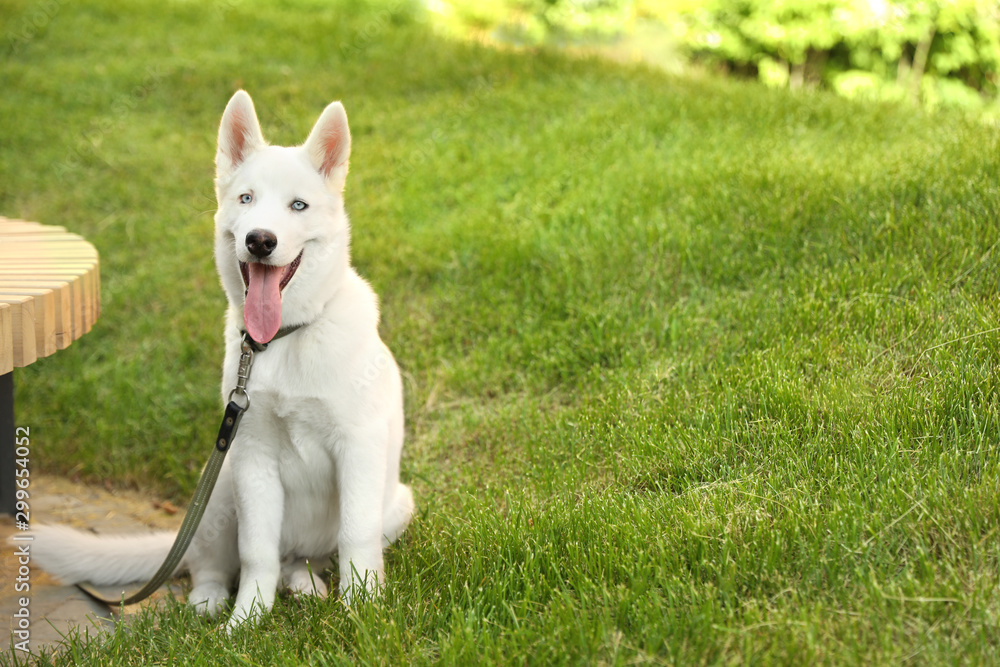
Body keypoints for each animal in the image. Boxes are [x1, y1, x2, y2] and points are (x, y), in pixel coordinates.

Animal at [30, 90, 414, 632]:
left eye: (298, 205)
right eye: (246, 199)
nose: (260, 240)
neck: (285, 339)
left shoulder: (358, 448)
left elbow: (355, 538)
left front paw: (364, 611)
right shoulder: (251, 458)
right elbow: (256, 552)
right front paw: (246, 621)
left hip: (396, 502)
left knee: (309, 558)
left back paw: (305, 584)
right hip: (220, 487)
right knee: (211, 564)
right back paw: (211, 602)